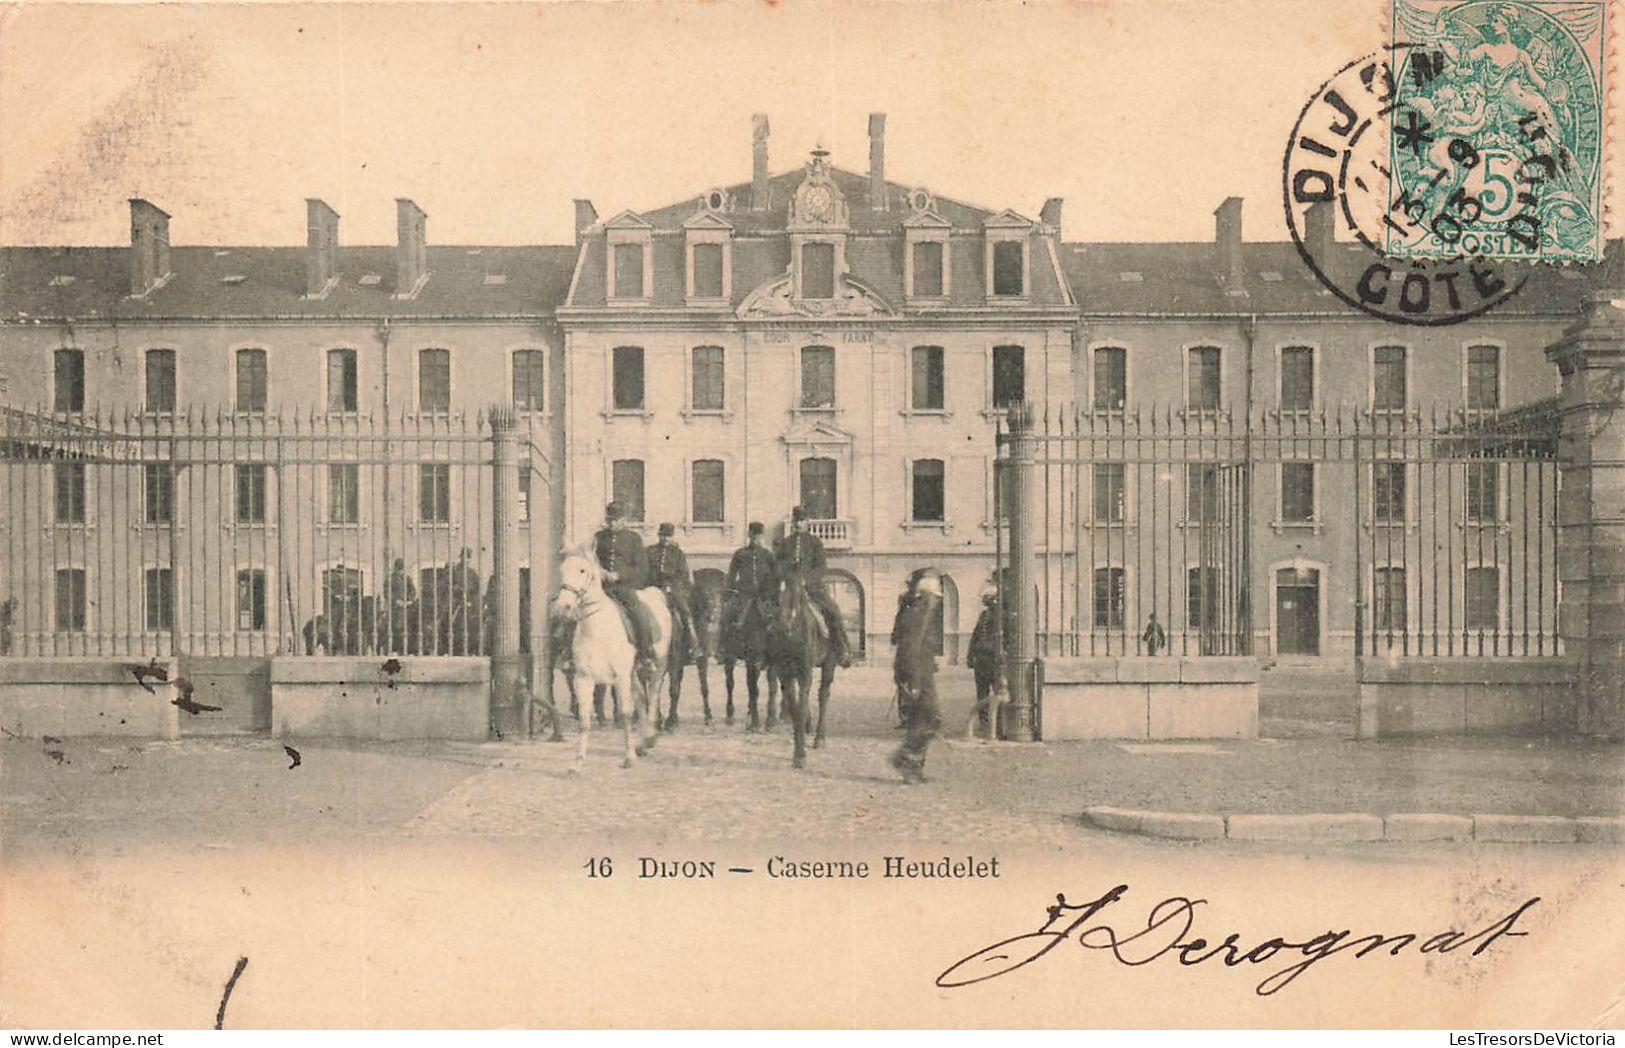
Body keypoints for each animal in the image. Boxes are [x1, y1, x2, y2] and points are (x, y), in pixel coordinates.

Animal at [549, 549, 669, 766]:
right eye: (562, 570)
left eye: (582, 570)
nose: (563, 606)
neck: (598, 628)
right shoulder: (583, 678)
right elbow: (584, 720)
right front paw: (578, 763)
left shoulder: (620, 676)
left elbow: (625, 714)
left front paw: (628, 757)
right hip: (633, 673)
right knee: (641, 698)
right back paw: (642, 744)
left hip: (658, 665)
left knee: (653, 696)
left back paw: (649, 738)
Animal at [763, 568, 838, 763]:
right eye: (776, 591)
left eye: (796, 593)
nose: (780, 625)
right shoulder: (785, 672)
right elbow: (795, 708)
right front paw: (798, 751)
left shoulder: (805, 672)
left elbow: (802, 707)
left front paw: (800, 755)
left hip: (829, 665)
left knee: (823, 696)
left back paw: (820, 738)